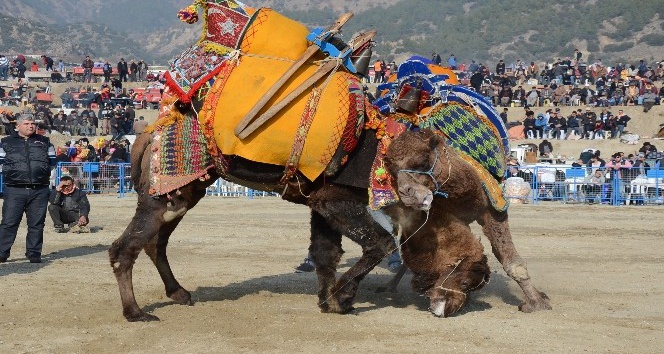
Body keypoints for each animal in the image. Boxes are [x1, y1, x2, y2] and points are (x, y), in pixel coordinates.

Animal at [382, 129, 552, 316]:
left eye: (424, 162)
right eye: (392, 170)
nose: (406, 192)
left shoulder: (492, 210)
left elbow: (512, 262)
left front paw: (537, 303)